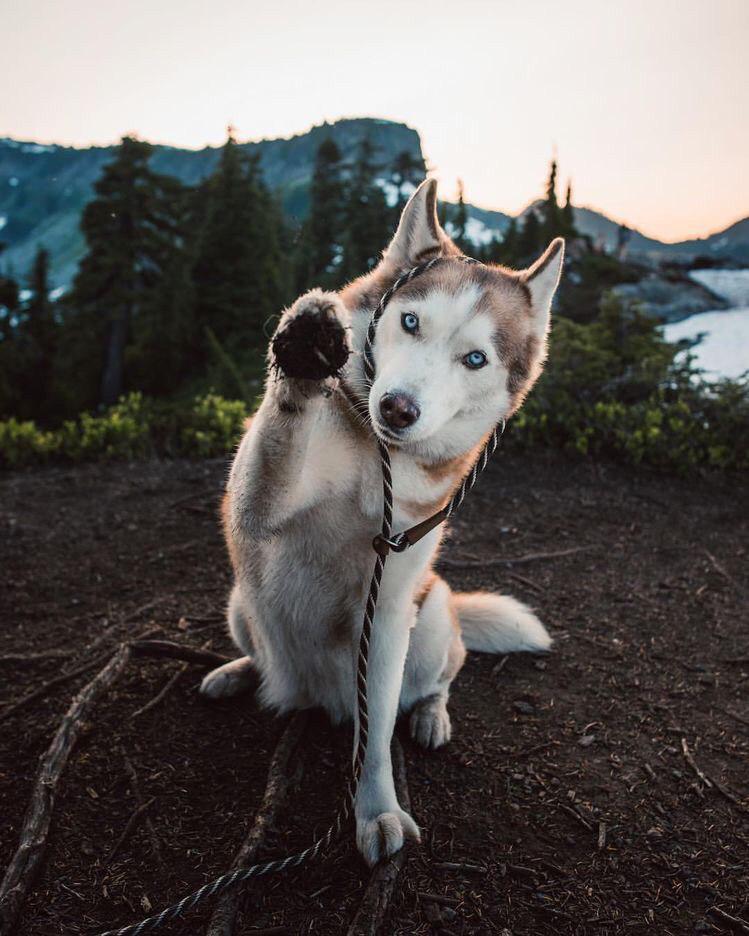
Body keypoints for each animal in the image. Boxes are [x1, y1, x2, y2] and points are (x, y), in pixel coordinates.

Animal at [199, 179, 560, 868]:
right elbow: (276, 444)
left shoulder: (389, 606)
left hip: (431, 616)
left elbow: (375, 738)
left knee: (440, 676)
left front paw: (377, 811)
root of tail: (314, 697)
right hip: (239, 602)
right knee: (260, 653)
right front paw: (304, 350)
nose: (397, 407)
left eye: (475, 359)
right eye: (410, 321)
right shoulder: (255, 506)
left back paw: (429, 715)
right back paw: (240, 673)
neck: (378, 462)